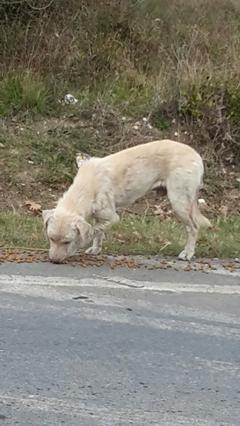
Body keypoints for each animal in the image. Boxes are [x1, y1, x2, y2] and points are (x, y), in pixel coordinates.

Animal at [42, 140, 210, 262]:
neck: (87, 186)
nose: (54, 261)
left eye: (67, 242)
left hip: (179, 201)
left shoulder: (112, 217)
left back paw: (188, 253)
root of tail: (196, 155)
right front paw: (96, 249)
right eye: (50, 238)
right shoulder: (99, 216)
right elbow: (98, 233)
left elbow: (95, 230)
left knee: (193, 228)